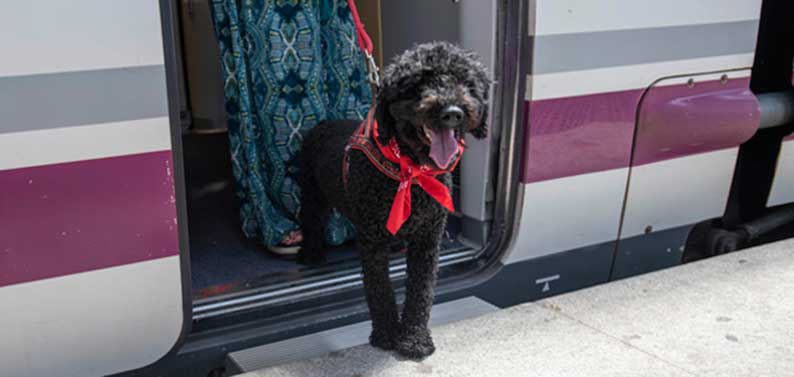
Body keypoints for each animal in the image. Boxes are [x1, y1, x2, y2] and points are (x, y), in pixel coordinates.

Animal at [296, 41, 486, 358]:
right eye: (418, 84)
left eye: (466, 82)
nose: (452, 112)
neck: (409, 170)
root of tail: (322, 124)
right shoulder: (372, 240)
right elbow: (379, 289)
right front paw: (386, 334)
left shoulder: (428, 238)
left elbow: (421, 291)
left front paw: (414, 338)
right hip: (312, 194)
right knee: (311, 221)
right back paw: (310, 254)